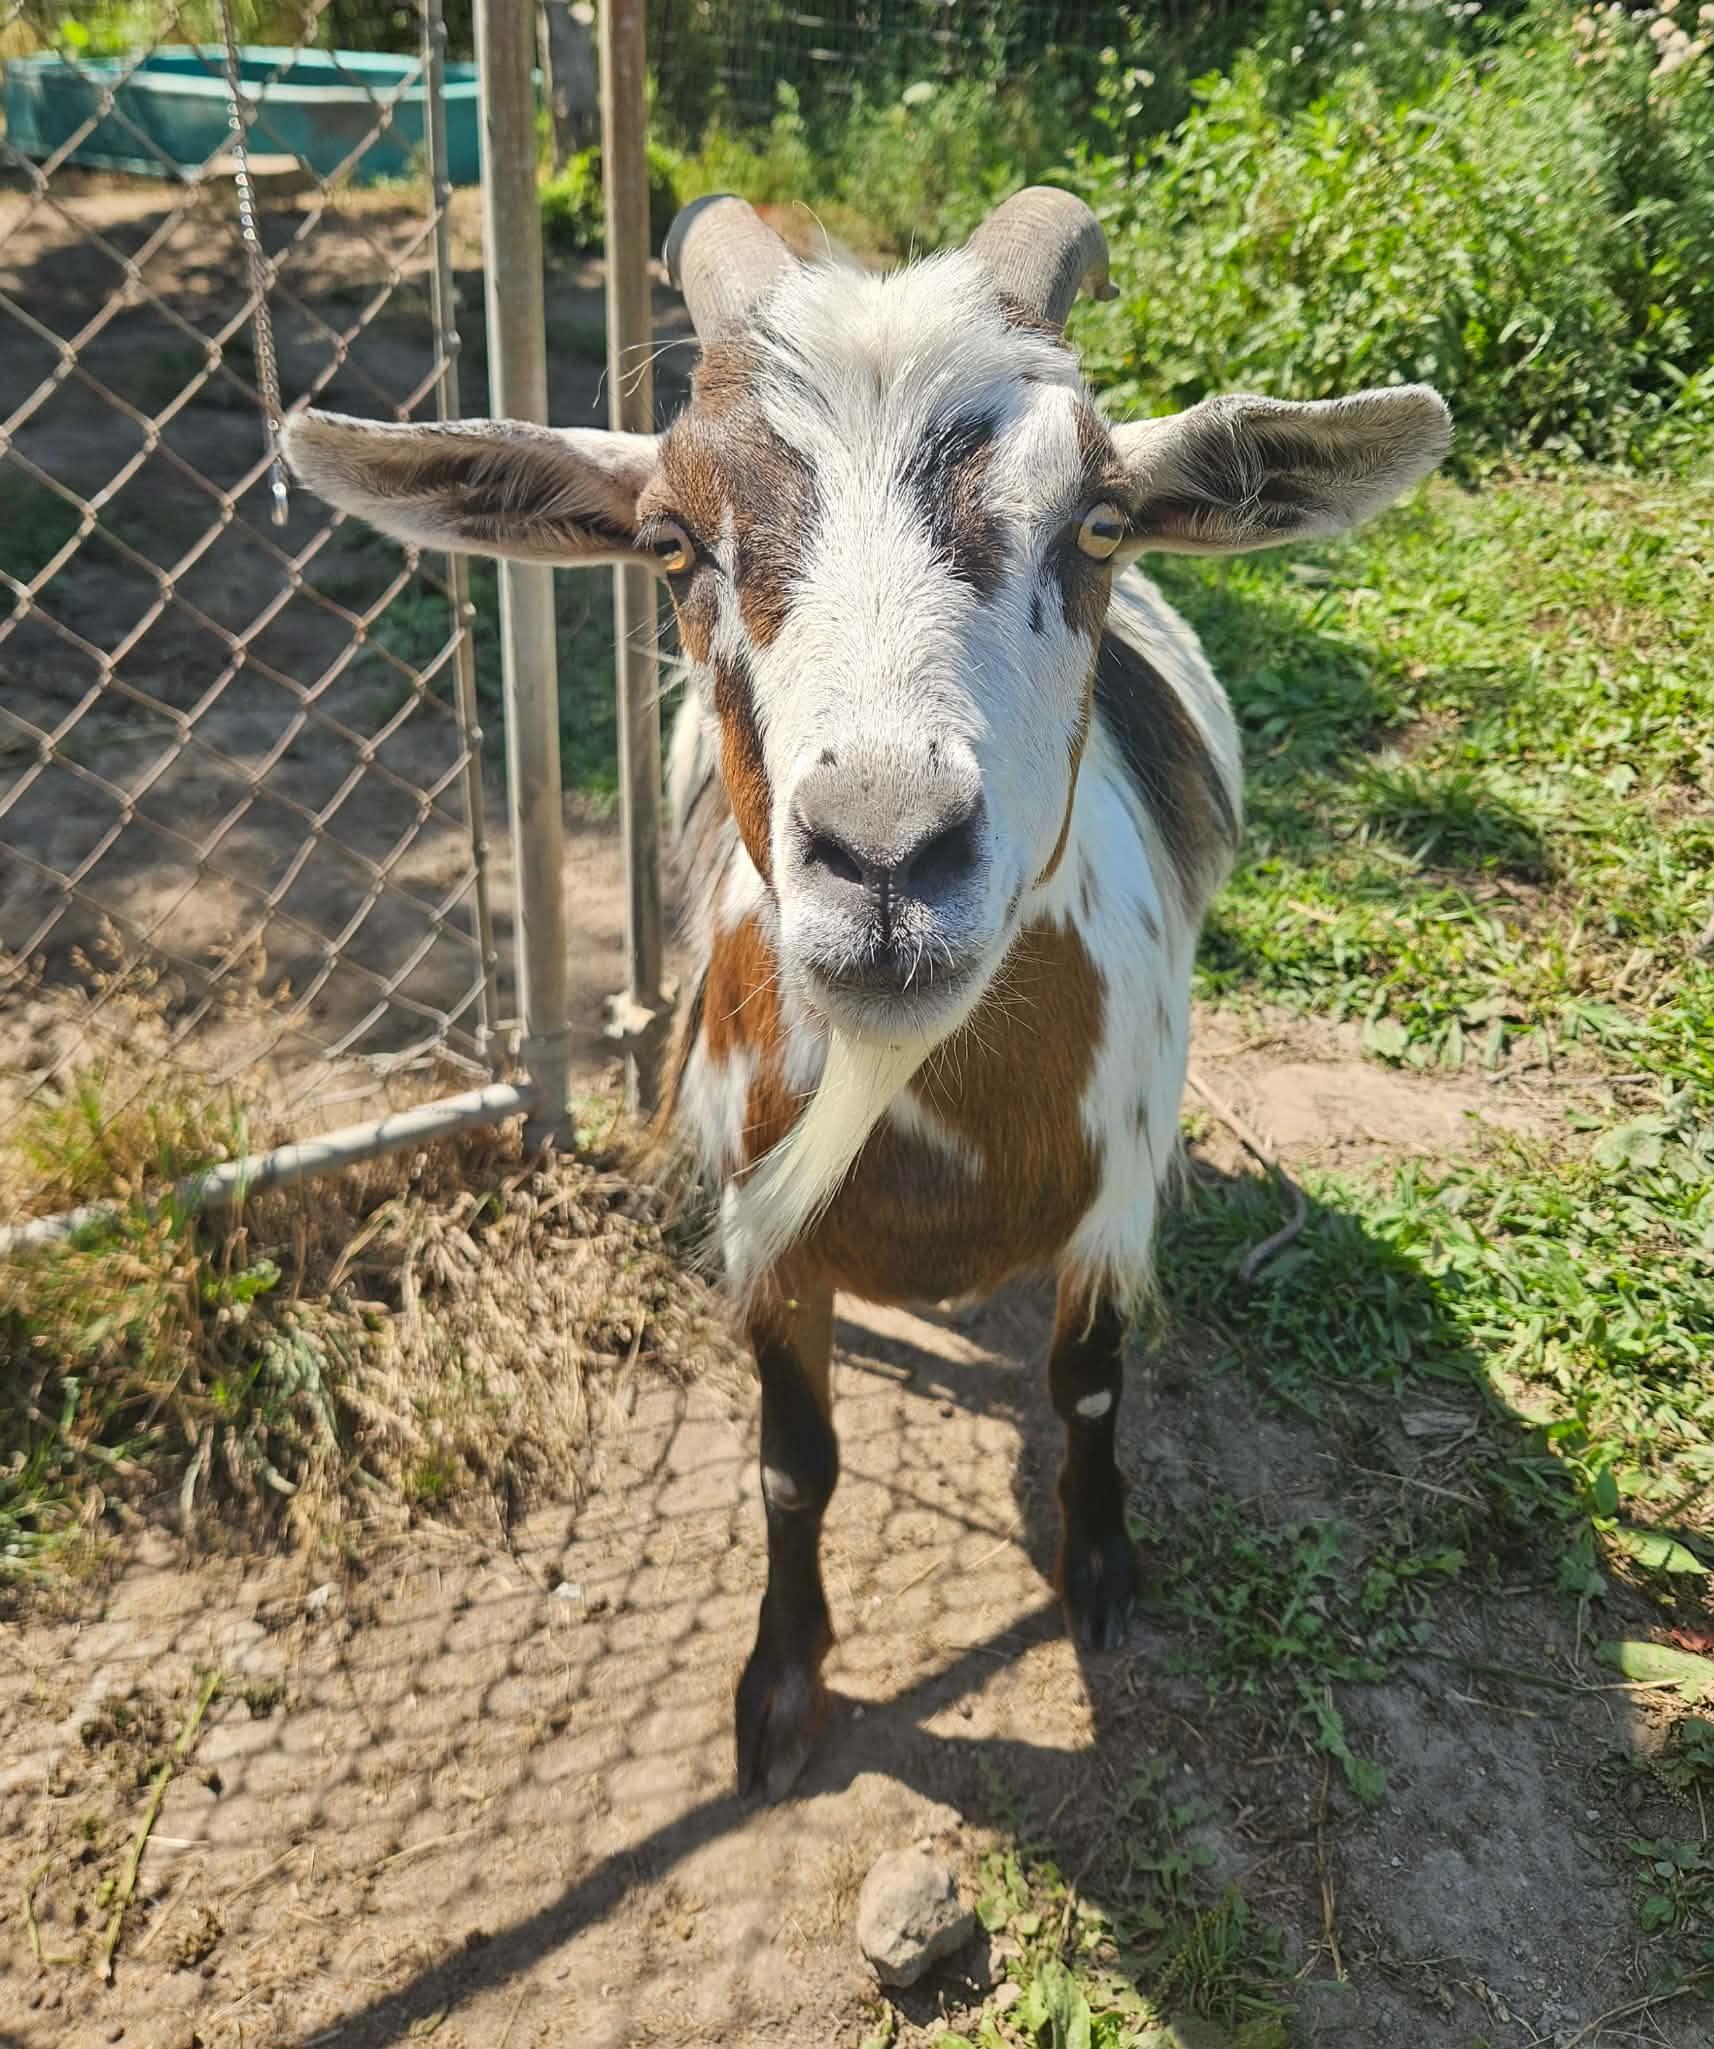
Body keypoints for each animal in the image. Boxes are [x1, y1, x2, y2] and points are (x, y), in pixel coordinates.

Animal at [284, 187, 1450, 1800]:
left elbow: (1089, 1389)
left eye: (1095, 521)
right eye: (670, 541)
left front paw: (1101, 1573)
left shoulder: (1111, 1212)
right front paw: (780, 1687)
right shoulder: (764, 1241)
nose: (887, 856)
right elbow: (794, 1465)